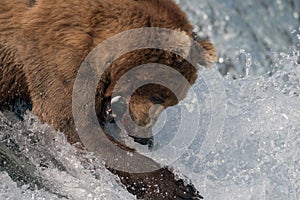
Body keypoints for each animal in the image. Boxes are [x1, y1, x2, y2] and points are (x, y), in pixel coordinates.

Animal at [0, 0, 216, 199]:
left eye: (173, 102)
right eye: (158, 97)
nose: (146, 139)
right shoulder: (59, 52)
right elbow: (74, 126)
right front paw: (179, 188)